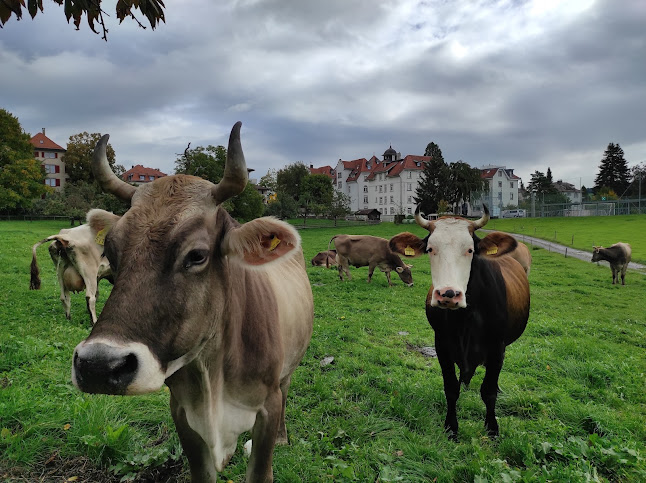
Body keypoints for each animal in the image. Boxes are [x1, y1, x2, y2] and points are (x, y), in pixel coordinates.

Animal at [71, 122, 314, 483]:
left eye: (197, 255)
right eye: (111, 251)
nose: (99, 366)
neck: (212, 376)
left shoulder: (267, 407)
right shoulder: (182, 412)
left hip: (288, 370)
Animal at [390, 206, 532, 440]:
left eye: (470, 250)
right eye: (430, 249)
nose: (448, 294)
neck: (466, 319)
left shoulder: (497, 348)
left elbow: (488, 390)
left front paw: (492, 428)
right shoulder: (442, 345)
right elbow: (450, 388)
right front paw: (451, 427)